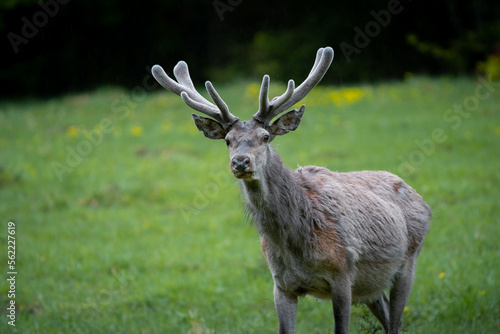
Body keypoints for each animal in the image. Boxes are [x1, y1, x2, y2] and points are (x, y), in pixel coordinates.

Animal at [151, 47, 430, 334]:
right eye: (227, 141)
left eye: (265, 137)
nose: (240, 162)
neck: (296, 242)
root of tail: (423, 201)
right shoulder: (281, 284)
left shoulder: (342, 273)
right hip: (370, 285)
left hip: (408, 261)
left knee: (396, 322)